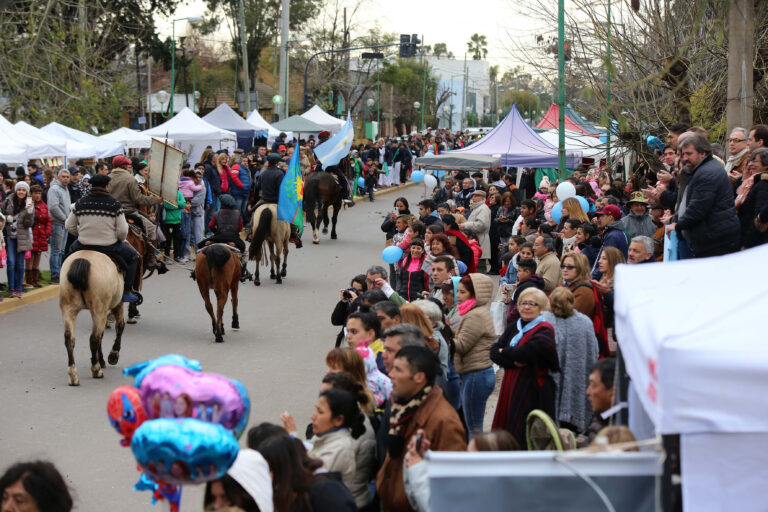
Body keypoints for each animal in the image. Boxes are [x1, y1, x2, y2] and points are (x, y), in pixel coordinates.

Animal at [59, 250, 127, 386]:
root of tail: (82, 260)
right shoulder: (118, 304)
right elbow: (120, 326)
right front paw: (113, 355)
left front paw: (101, 359)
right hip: (99, 309)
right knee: (94, 338)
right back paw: (96, 370)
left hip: (68, 309)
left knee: (69, 339)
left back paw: (73, 376)